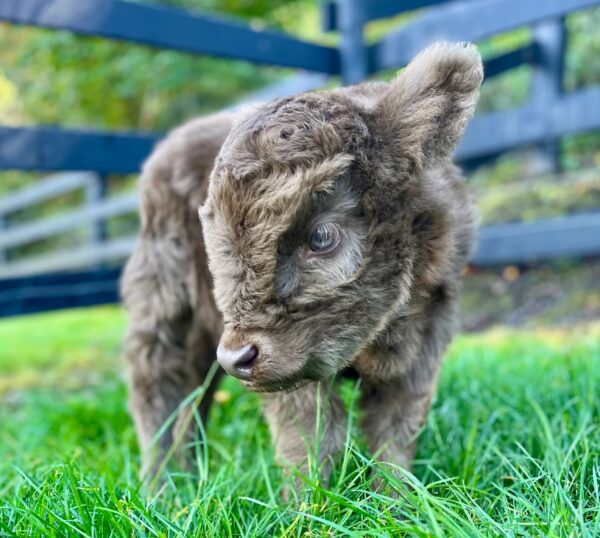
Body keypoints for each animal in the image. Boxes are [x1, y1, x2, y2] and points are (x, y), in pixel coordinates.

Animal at [120, 42, 482, 482]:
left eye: (321, 236)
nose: (236, 358)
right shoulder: (297, 374)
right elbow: (312, 438)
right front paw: (308, 500)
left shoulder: (424, 342)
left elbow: (395, 434)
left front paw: (397, 498)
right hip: (164, 307)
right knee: (159, 387)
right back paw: (165, 485)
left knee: (196, 393)